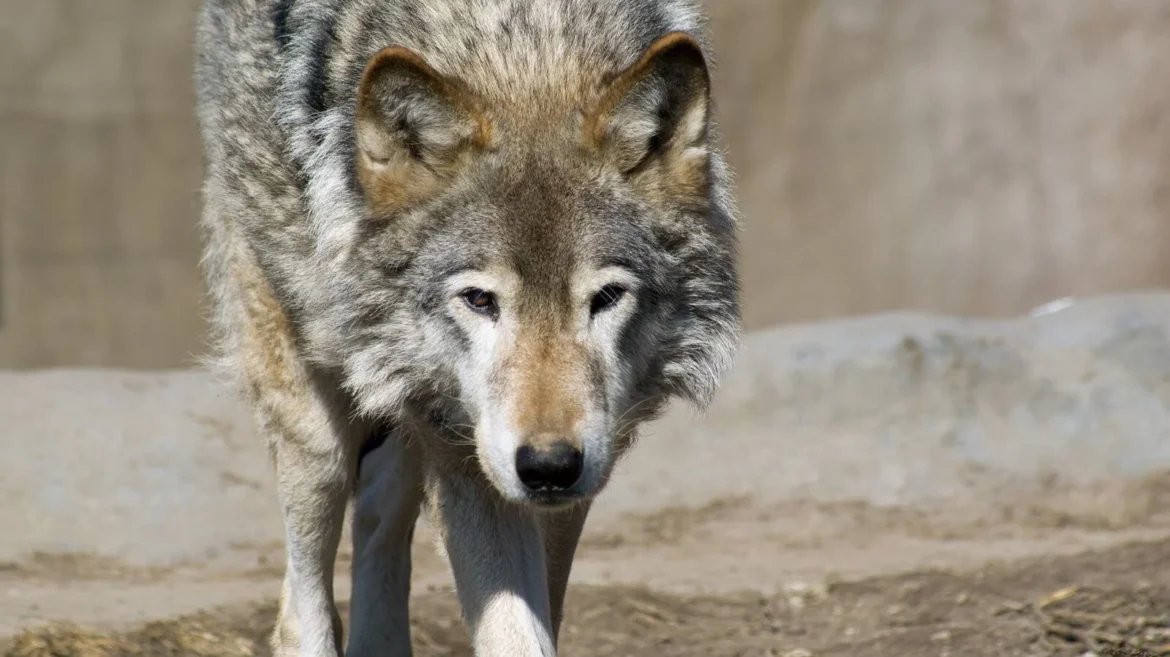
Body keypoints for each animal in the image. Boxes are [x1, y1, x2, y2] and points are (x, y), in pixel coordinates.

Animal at [191, 0, 739, 649]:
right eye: (480, 300)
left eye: (605, 297)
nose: (549, 466)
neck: (526, 56)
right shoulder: (465, 451)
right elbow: (513, 633)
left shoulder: (579, 464)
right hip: (317, 424)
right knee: (301, 609)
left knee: (379, 510)